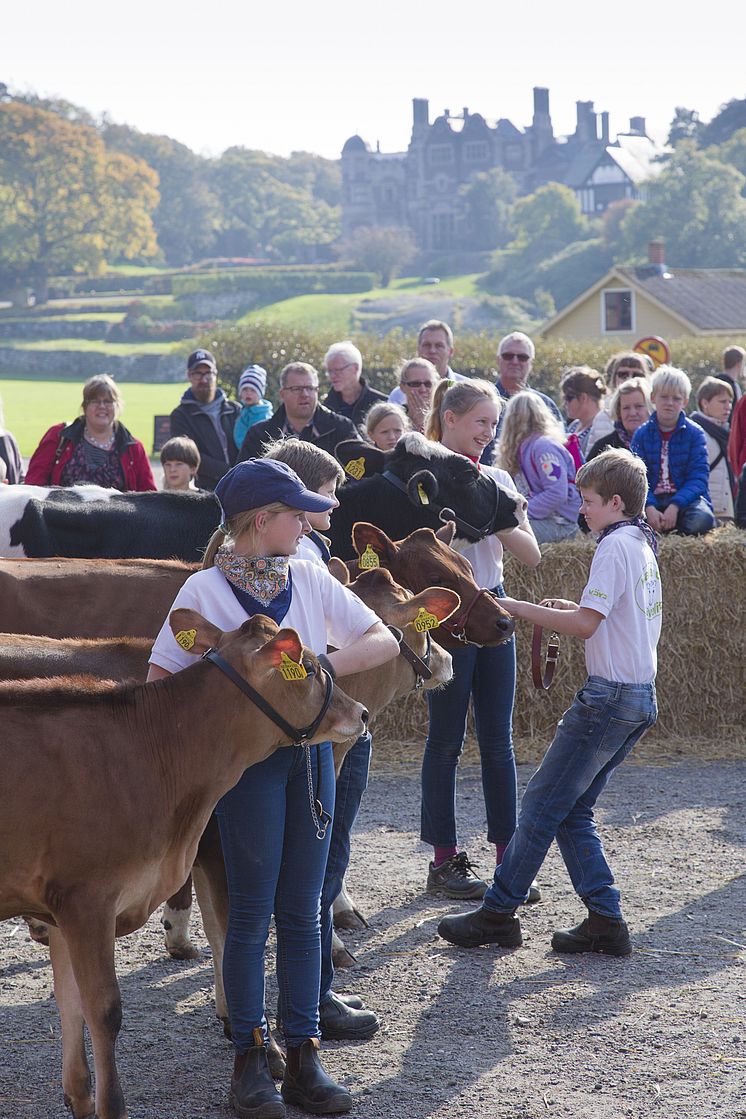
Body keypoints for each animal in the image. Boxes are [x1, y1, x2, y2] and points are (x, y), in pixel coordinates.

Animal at [0, 613, 366, 1119]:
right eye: (308, 668)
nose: (363, 712)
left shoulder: (59, 907)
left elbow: (70, 1001)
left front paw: (79, 1096)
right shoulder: (85, 900)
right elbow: (104, 1010)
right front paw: (112, 1106)